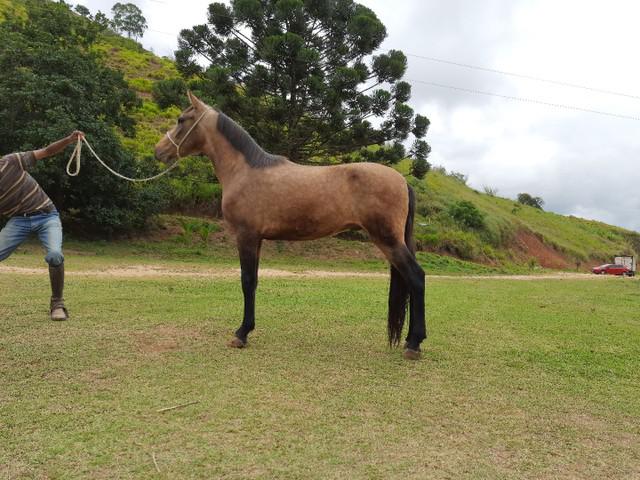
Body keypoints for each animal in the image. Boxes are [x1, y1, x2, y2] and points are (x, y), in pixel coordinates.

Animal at [153, 92, 428, 358]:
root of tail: (402, 180)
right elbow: (254, 281)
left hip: (388, 240)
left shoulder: (246, 236)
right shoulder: (257, 239)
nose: (158, 151)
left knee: (416, 278)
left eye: (181, 120)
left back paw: (414, 344)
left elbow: (247, 281)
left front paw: (241, 334)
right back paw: (409, 340)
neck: (244, 170)